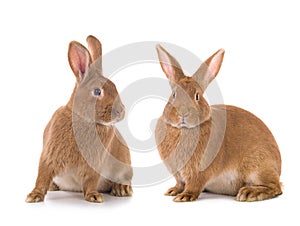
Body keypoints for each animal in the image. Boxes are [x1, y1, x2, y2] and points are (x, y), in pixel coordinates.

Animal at [26, 35, 132, 203]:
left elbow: (91, 180)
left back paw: (121, 189)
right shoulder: (48, 156)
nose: (120, 112)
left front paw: (93, 196)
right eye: (97, 91)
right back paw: (53, 187)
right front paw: (34, 196)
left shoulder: (94, 164)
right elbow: (42, 177)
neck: (83, 119)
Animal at [156, 45, 282, 202]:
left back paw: (249, 193)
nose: (183, 113)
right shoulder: (178, 173)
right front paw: (173, 191)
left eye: (197, 96)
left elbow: (194, 185)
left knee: (276, 187)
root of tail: (279, 166)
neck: (184, 129)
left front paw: (185, 196)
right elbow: (180, 183)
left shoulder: (199, 172)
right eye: (173, 95)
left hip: (257, 167)